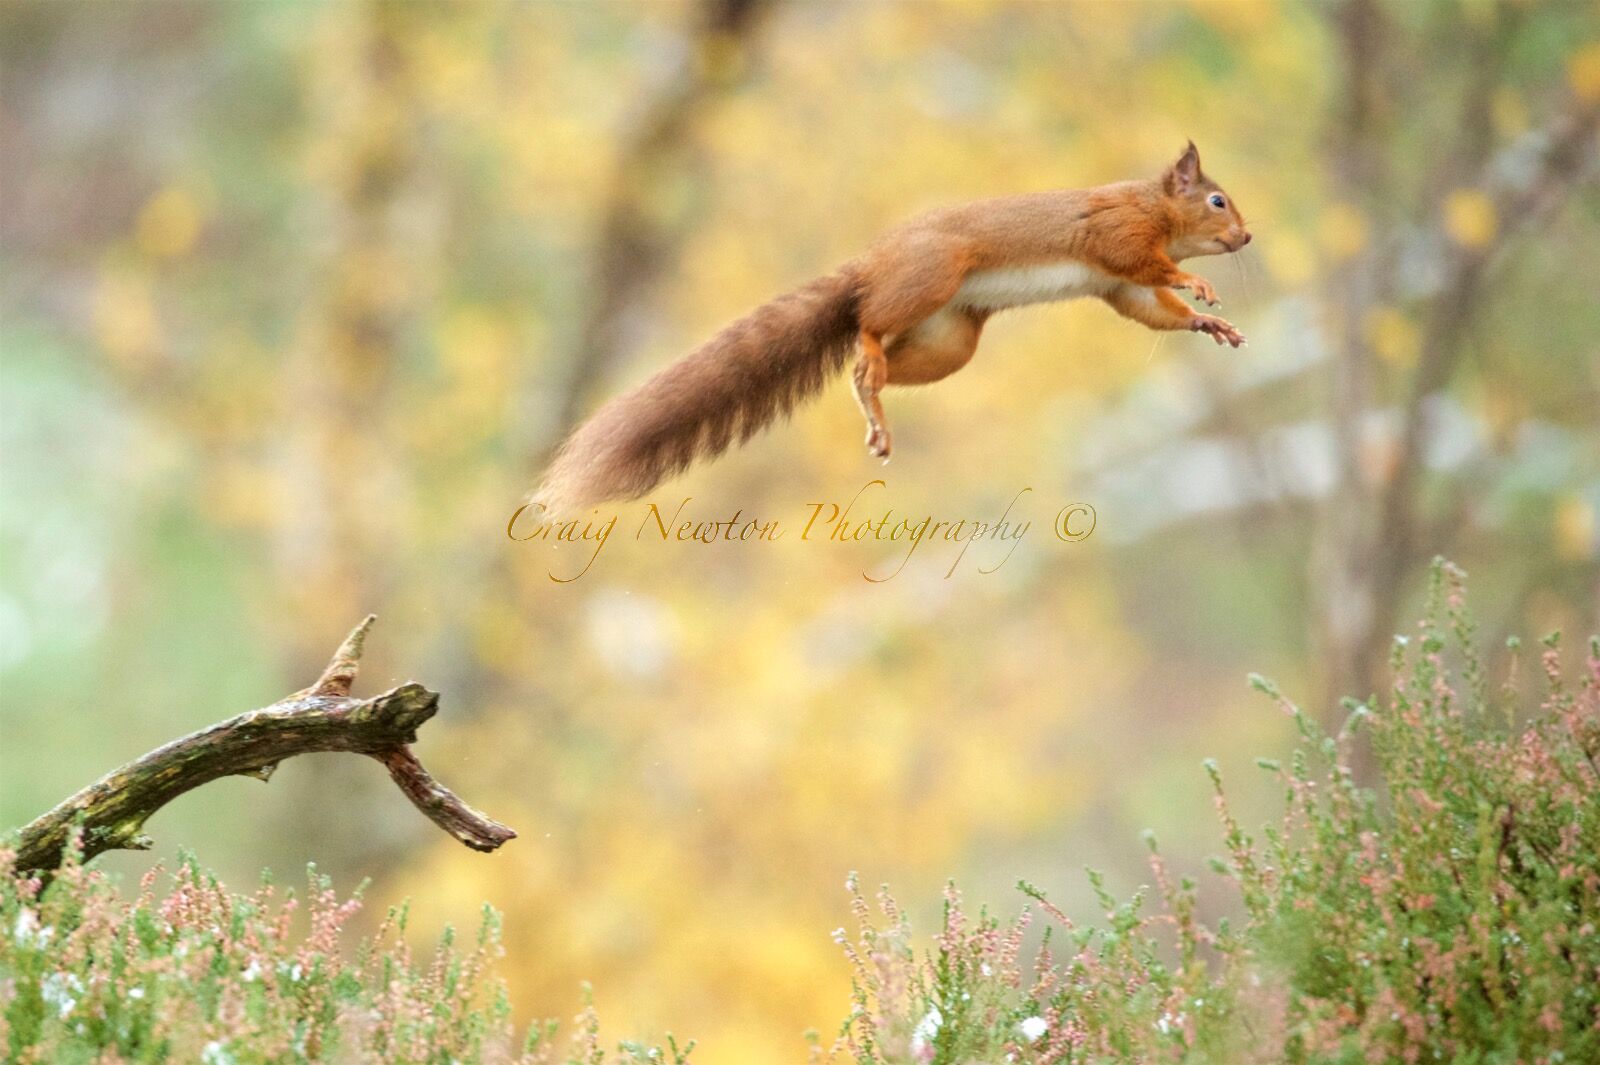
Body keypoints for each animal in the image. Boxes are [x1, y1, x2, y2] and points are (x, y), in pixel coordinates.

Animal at [534, 141, 1250, 513]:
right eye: (1217, 201)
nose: (1247, 237)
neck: (1155, 206)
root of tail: (872, 264)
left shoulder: (1119, 285)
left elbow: (1149, 306)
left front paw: (1207, 323)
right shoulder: (1117, 236)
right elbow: (1152, 267)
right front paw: (1199, 285)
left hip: (947, 340)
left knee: (877, 367)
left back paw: (874, 405)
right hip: (929, 279)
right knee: (866, 327)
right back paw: (867, 355)